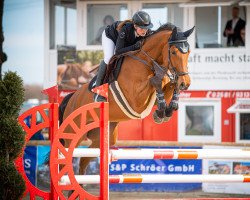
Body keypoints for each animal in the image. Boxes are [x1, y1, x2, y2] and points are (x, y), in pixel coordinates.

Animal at [59, 23, 194, 176]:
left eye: (188, 52)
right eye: (174, 52)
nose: (185, 83)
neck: (147, 62)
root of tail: (71, 98)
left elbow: (169, 86)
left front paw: (166, 111)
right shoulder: (136, 100)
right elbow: (155, 82)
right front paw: (161, 112)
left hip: (104, 136)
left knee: (83, 161)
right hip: (72, 134)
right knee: (66, 158)